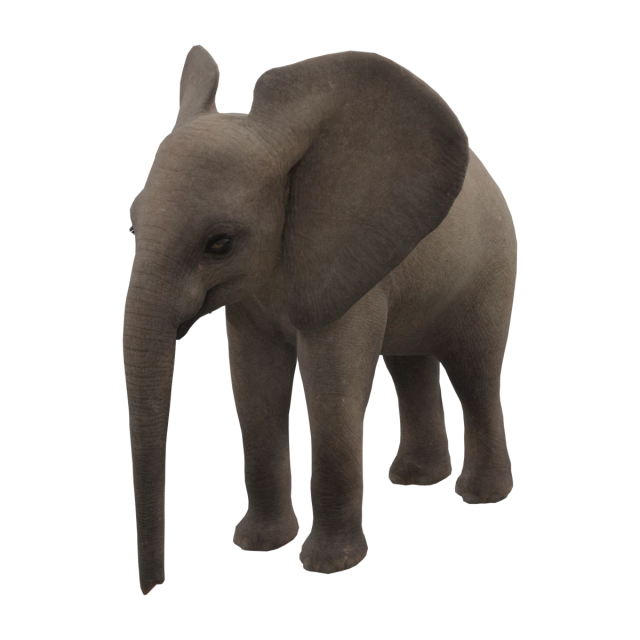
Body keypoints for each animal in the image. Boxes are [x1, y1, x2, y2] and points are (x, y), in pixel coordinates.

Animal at [123, 46, 516, 596]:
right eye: (133, 227)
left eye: (219, 244)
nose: (152, 588)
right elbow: (254, 383)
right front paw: (260, 546)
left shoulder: (345, 265)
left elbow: (331, 384)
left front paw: (331, 566)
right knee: (411, 364)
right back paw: (415, 480)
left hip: (490, 267)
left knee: (474, 369)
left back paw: (480, 495)